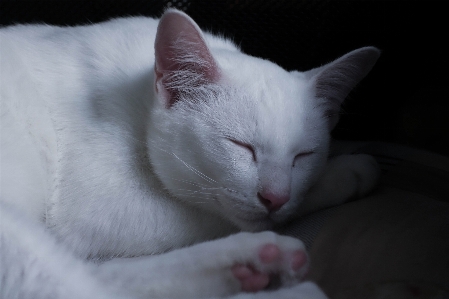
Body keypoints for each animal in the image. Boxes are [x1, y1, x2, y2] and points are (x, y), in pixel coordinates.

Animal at [0, 8, 380, 298]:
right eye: (240, 146)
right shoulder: (99, 213)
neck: (139, 99)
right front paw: (345, 172)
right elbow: (211, 215)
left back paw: (252, 266)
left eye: (303, 155)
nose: (275, 197)